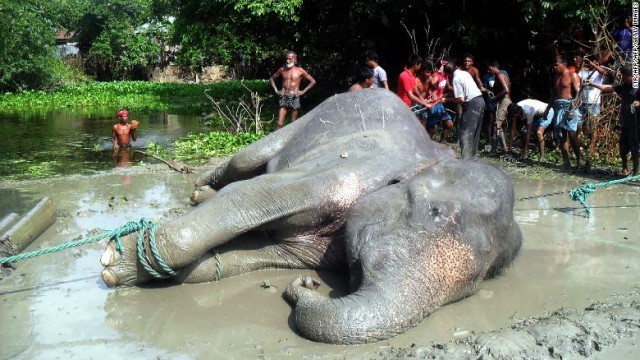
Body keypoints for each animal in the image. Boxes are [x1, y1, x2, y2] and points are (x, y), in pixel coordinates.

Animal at [99, 88, 520, 344]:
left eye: (481, 278)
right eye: (435, 213)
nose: (306, 285)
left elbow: (249, 255)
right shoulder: (340, 176)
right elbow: (252, 194)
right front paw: (113, 261)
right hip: (306, 117)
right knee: (244, 161)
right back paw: (199, 189)